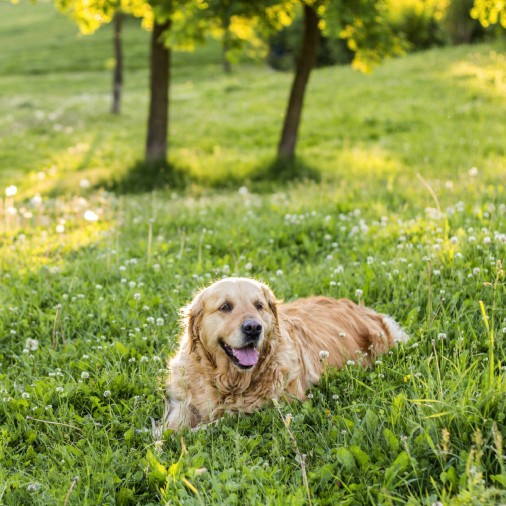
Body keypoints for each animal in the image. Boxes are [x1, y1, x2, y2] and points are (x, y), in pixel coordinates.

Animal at [165, 278, 408, 428]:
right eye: (225, 307)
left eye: (259, 305)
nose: (253, 328)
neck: (231, 380)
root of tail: (367, 311)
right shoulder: (184, 400)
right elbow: (173, 424)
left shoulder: (269, 408)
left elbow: (215, 422)